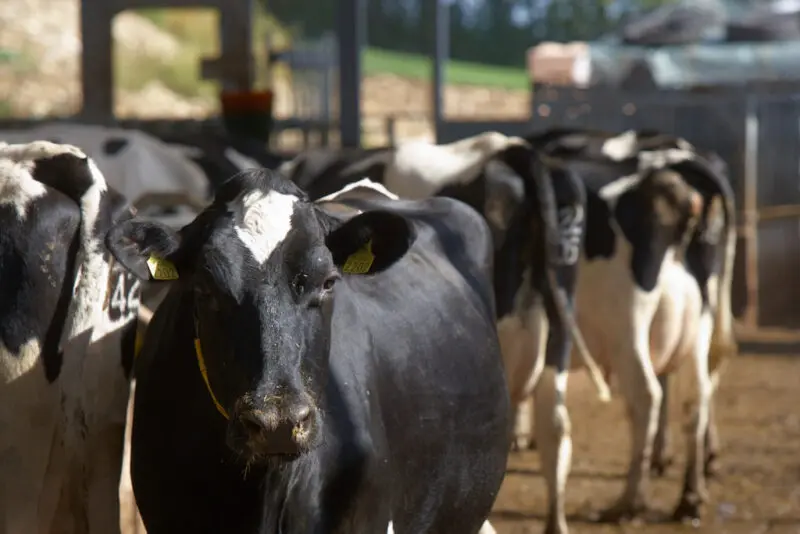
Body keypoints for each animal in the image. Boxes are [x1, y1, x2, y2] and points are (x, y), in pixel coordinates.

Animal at [516, 128, 737, 533]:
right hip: (698, 321)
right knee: (696, 394)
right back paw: (689, 497)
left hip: (629, 324)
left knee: (647, 395)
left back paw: (631, 501)